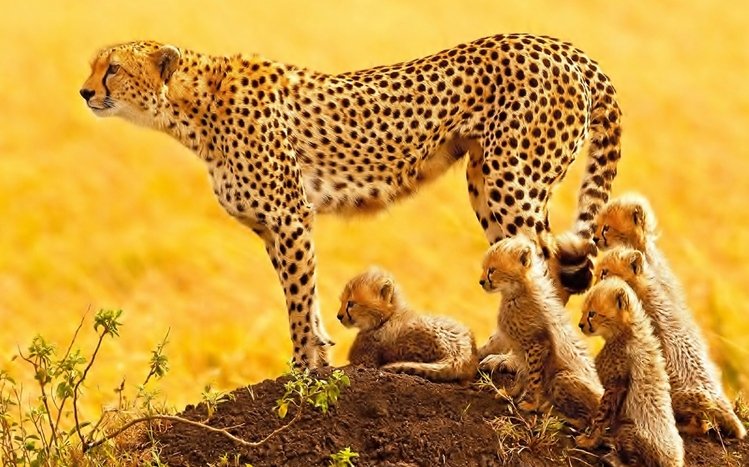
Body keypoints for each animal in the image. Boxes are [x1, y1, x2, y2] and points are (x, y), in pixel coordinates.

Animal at [80, 33, 622, 367]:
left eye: (113, 69)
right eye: (94, 66)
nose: (84, 92)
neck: (194, 106)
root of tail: (559, 46)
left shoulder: (289, 217)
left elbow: (299, 298)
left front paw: (304, 367)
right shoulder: (274, 227)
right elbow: (303, 297)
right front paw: (318, 354)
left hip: (512, 180)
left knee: (545, 266)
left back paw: (511, 357)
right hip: (486, 180)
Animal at [338, 267, 477, 383]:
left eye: (351, 303)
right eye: (342, 301)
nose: (338, 316)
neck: (387, 317)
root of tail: (460, 356)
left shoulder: (365, 361)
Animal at [478, 234, 602, 428]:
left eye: (492, 270)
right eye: (484, 269)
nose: (481, 281)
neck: (515, 294)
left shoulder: (537, 345)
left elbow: (533, 377)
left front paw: (530, 403)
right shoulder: (520, 348)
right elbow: (522, 373)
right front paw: (511, 394)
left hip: (562, 377)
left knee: (585, 421)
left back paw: (555, 414)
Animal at [577, 277, 684, 467]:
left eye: (592, 313)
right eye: (584, 312)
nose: (580, 325)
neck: (626, 331)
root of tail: (674, 461)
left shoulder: (616, 386)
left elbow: (601, 416)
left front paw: (589, 440)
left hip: (627, 427)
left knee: (636, 462)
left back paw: (613, 458)